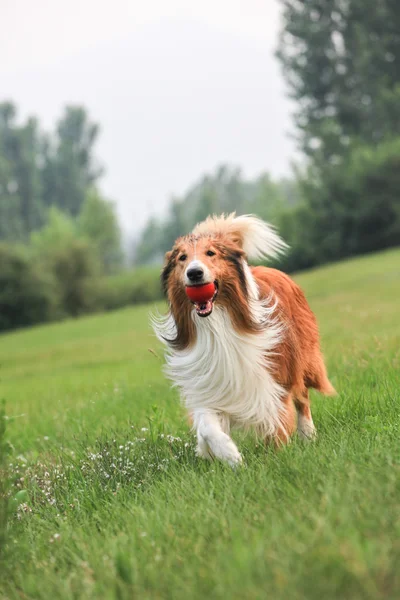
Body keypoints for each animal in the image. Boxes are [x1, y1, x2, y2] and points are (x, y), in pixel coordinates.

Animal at [153, 213, 334, 466]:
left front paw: (277, 456)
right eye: (182, 258)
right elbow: (207, 427)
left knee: (302, 396)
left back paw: (308, 434)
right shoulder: (209, 383)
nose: (194, 273)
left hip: (301, 359)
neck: (218, 323)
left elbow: (277, 421)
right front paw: (229, 456)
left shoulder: (271, 378)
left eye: (210, 253)